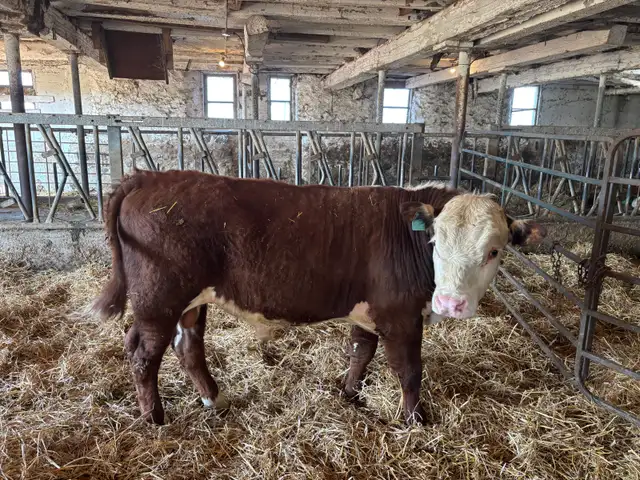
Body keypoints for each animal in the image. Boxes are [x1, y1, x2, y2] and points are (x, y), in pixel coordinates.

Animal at [91, 169, 546, 425]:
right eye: (436, 242)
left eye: (494, 251)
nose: (451, 303)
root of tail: (149, 177)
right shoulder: (401, 315)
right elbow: (409, 371)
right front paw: (416, 421)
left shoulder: (369, 313)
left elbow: (360, 353)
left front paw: (350, 395)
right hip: (159, 298)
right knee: (143, 355)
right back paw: (154, 419)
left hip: (191, 301)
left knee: (188, 346)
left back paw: (214, 399)